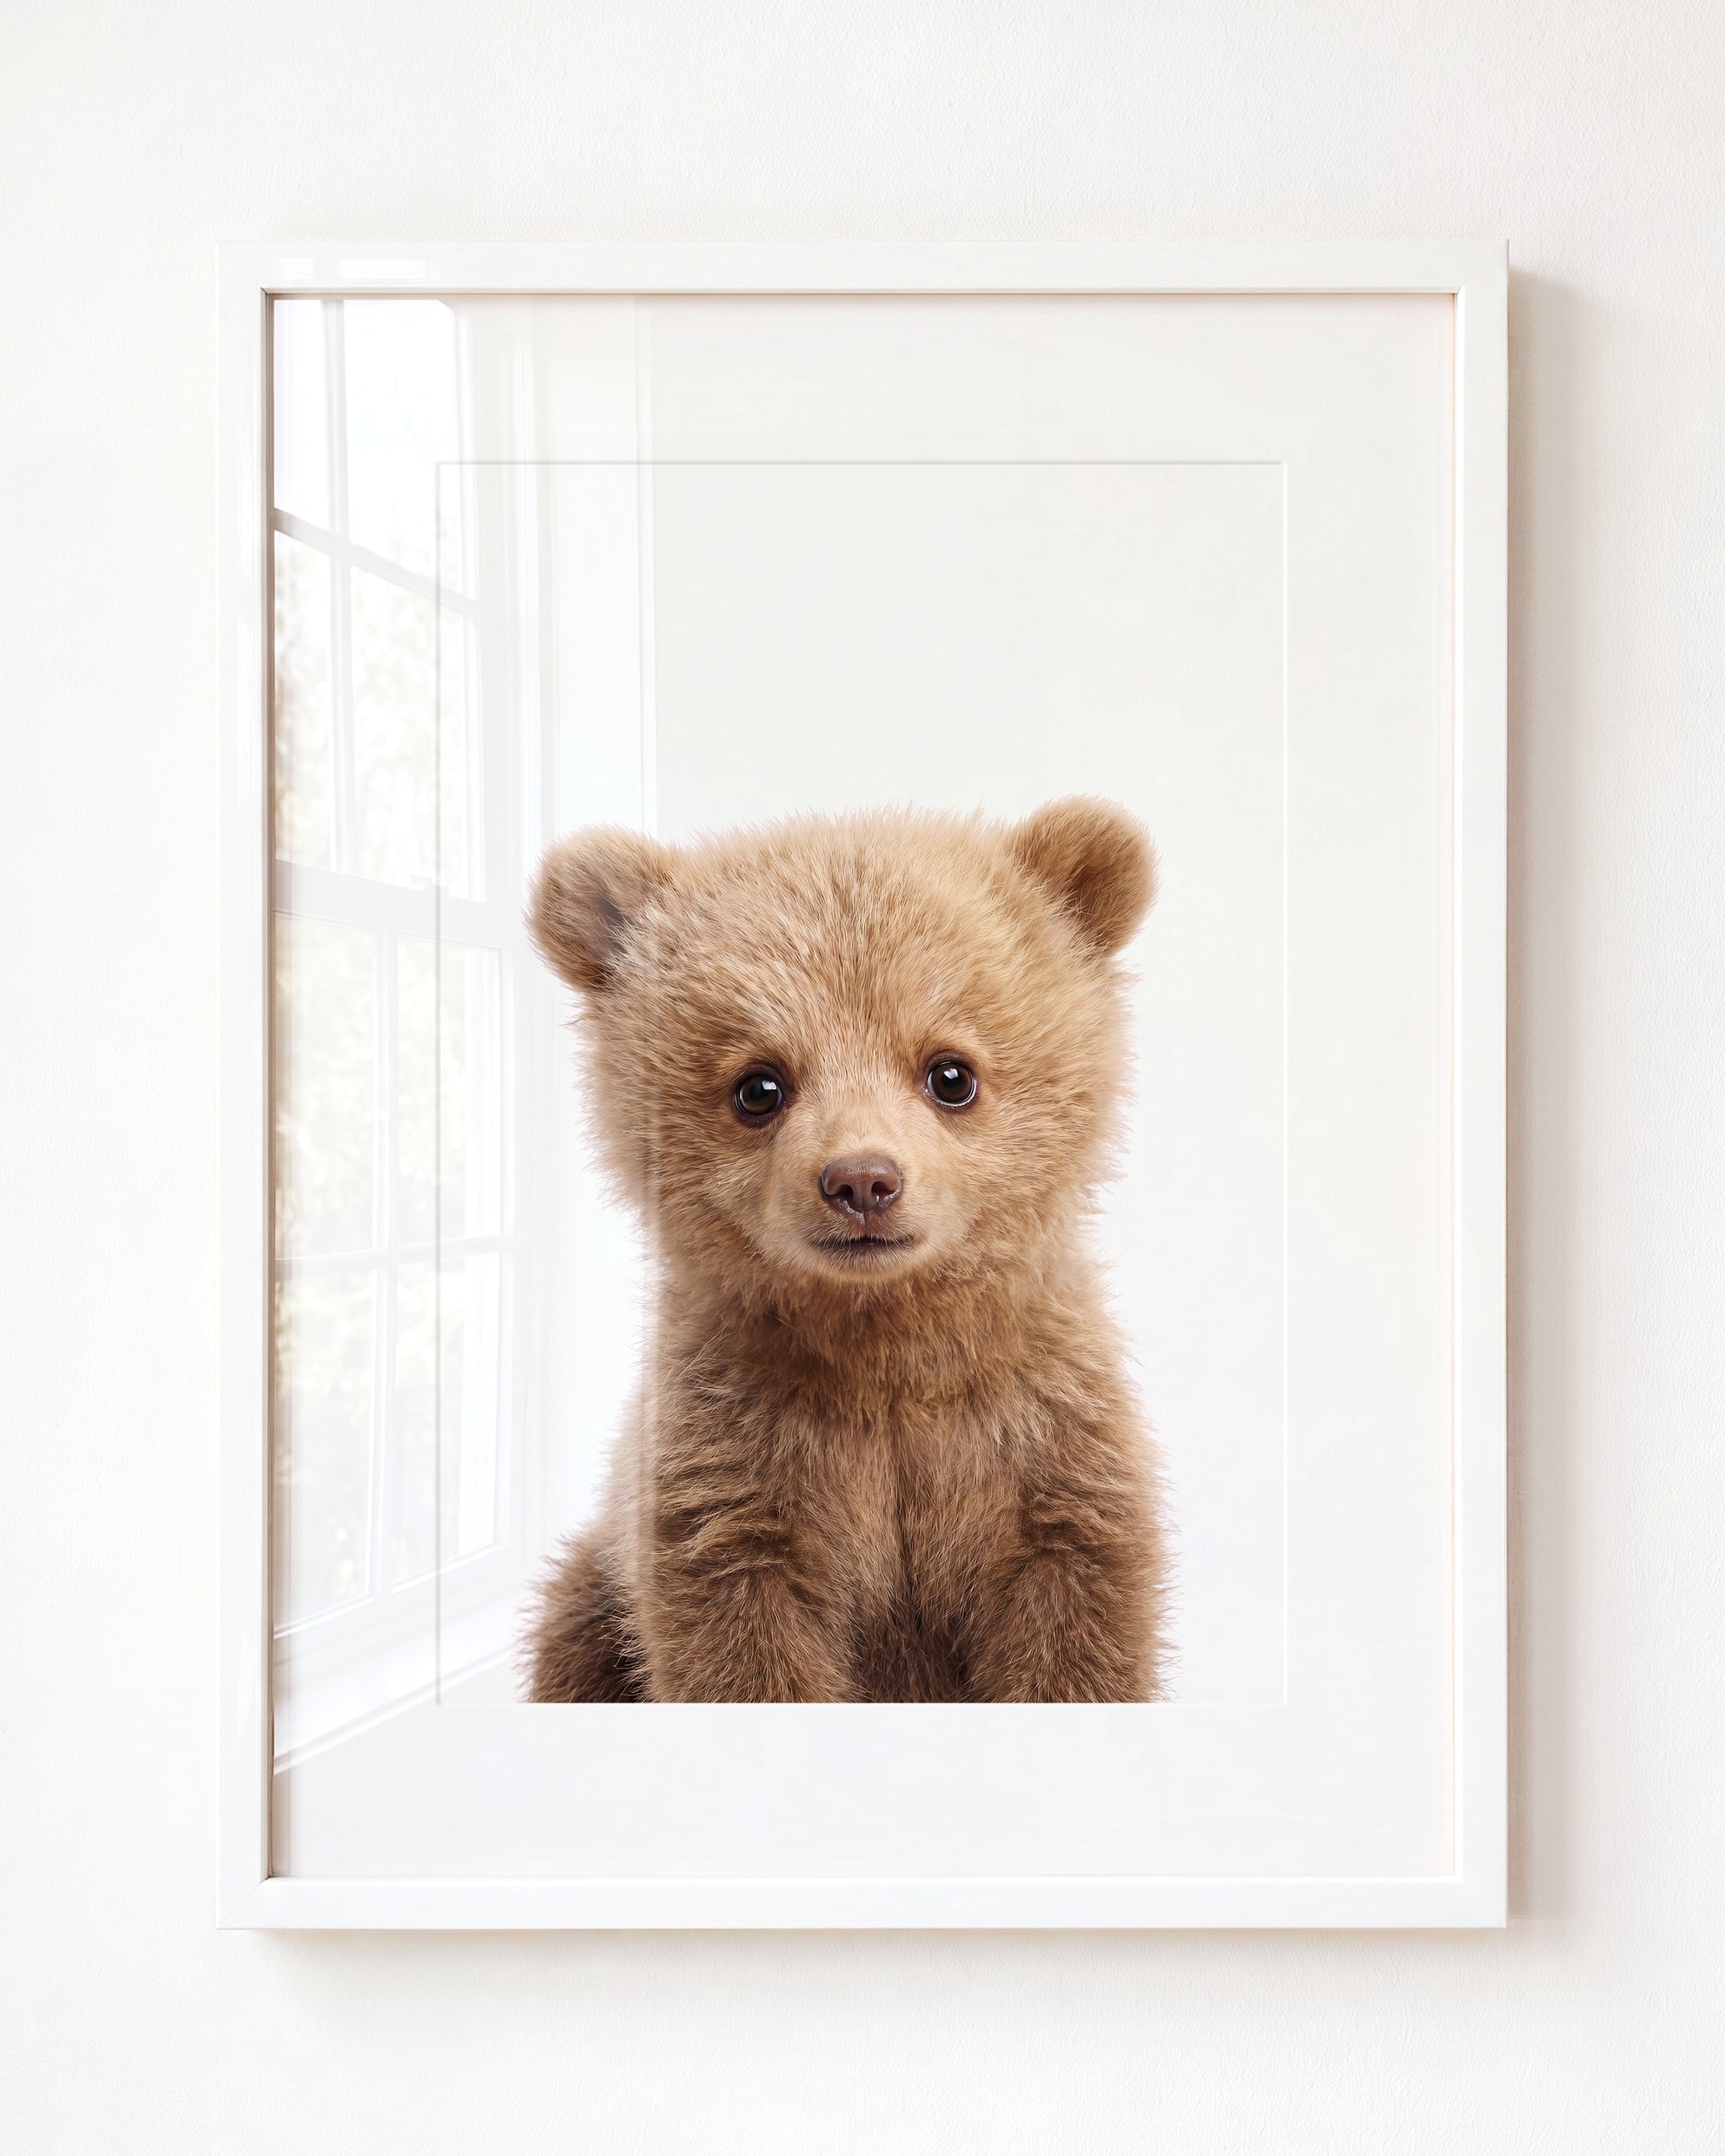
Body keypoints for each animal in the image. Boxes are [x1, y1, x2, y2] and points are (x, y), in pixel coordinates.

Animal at [521, 796, 1172, 1703]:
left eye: (951, 1073)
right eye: (759, 1086)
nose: (863, 1180)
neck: (884, 1348)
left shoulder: (1041, 1453)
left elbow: (1074, 1633)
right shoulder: (737, 1475)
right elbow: (741, 1646)